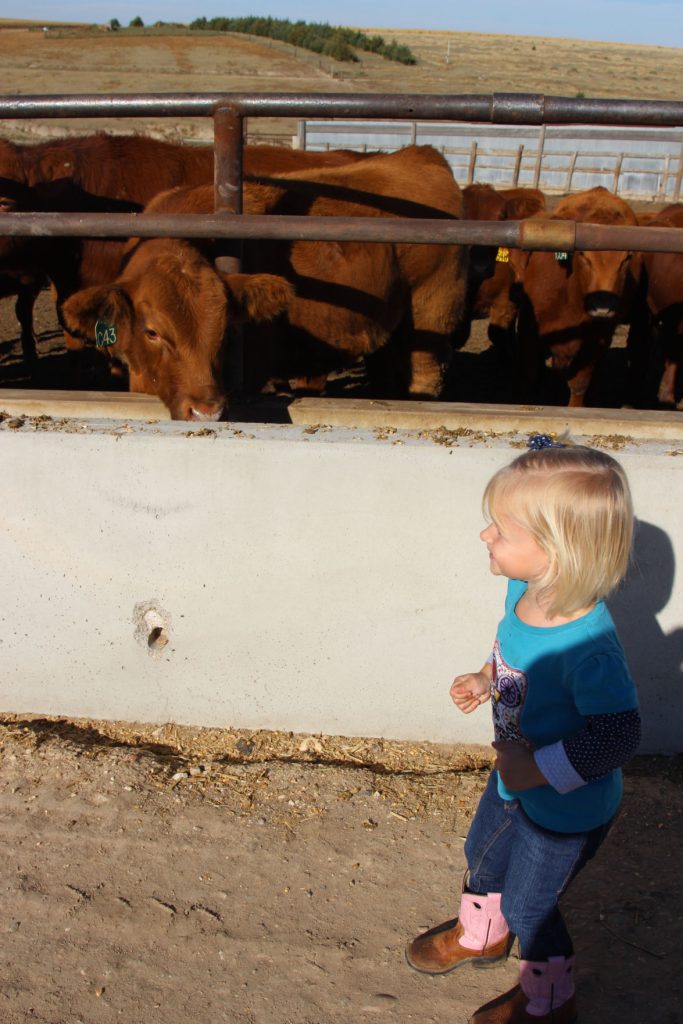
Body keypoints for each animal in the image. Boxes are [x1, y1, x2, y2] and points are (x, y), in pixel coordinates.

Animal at [60, 145, 464, 415]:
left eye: (226, 331)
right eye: (152, 331)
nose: (206, 410)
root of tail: (421, 155)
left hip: (430, 317)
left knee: (425, 378)